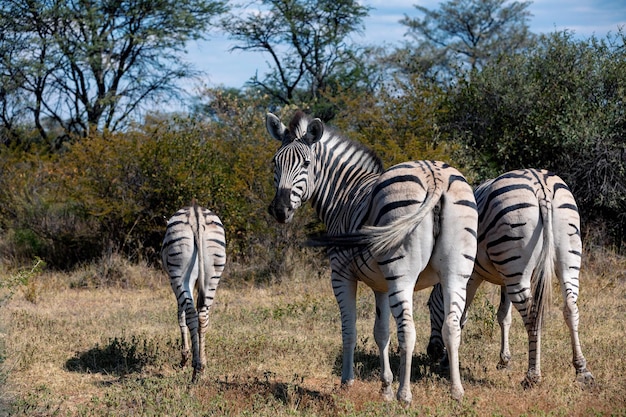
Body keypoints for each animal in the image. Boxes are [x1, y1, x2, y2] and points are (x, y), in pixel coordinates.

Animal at [160, 203, 225, 382]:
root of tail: (196, 216)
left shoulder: (173, 282)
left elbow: (180, 316)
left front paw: (184, 357)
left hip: (179, 275)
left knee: (190, 314)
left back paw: (195, 368)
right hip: (213, 273)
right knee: (202, 315)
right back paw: (201, 367)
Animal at [266, 110, 476, 404]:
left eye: (306, 163)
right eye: (275, 163)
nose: (280, 210)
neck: (342, 194)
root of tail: (433, 175)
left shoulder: (341, 274)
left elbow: (349, 328)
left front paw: (348, 382)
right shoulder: (381, 285)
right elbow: (381, 332)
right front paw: (385, 387)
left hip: (402, 272)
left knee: (408, 331)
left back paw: (405, 394)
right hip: (456, 272)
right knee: (452, 327)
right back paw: (456, 391)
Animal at [426, 168, 592, 386]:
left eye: (429, 306)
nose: (432, 353)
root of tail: (540, 186)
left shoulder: (472, 276)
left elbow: (461, 317)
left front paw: (447, 362)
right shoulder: (504, 278)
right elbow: (504, 316)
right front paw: (504, 361)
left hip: (515, 256)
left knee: (533, 316)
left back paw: (532, 375)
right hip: (563, 254)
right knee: (571, 308)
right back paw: (582, 370)